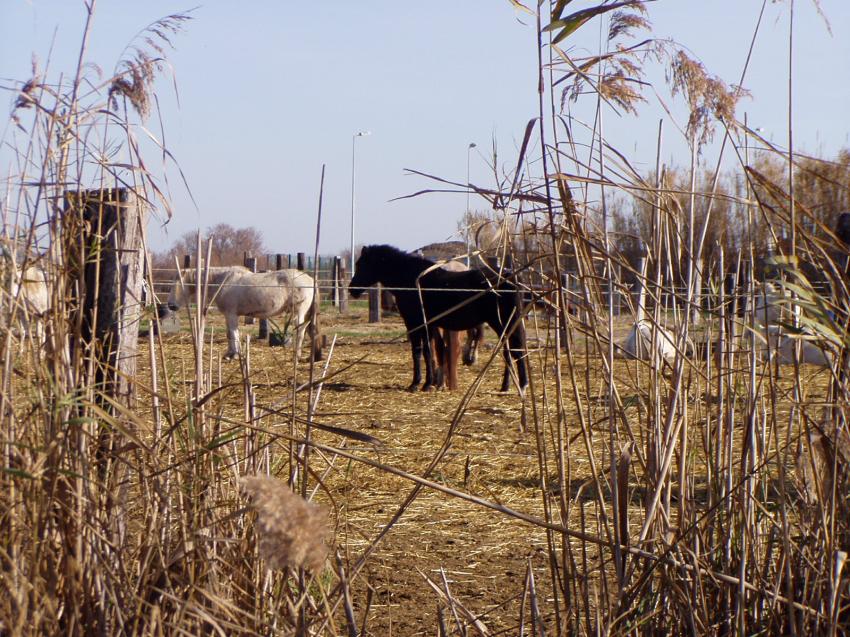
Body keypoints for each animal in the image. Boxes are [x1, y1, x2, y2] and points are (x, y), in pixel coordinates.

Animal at [167, 265, 321, 361]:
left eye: (179, 284)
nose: (171, 305)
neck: (223, 281)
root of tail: (310, 279)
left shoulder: (231, 314)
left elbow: (233, 334)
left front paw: (235, 355)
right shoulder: (228, 315)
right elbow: (229, 334)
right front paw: (229, 354)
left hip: (299, 312)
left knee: (300, 331)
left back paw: (297, 355)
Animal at [349, 244, 527, 393]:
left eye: (361, 265)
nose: (352, 289)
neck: (411, 280)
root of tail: (511, 277)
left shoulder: (415, 323)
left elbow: (419, 351)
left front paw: (419, 384)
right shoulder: (428, 325)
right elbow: (430, 352)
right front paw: (429, 383)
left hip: (502, 322)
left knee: (515, 350)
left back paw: (522, 385)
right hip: (503, 325)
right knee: (509, 351)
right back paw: (507, 386)